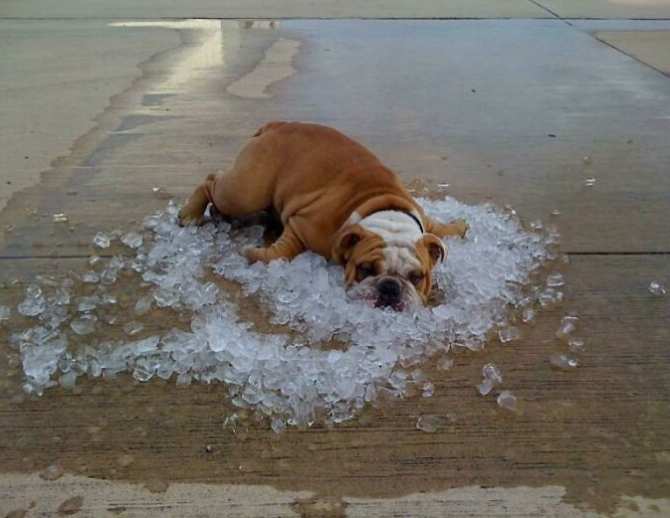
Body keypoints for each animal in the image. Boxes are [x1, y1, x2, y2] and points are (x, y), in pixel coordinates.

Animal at [179, 122, 467, 311]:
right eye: (365, 269)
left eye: (416, 277)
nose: (389, 287)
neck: (386, 214)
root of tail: (276, 125)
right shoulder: (303, 226)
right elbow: (283, 251)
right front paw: (254, 254)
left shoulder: (421, 217)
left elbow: (436, 226)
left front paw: (458, 227)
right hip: (247, 189)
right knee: (211, 181)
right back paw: (191, 214)